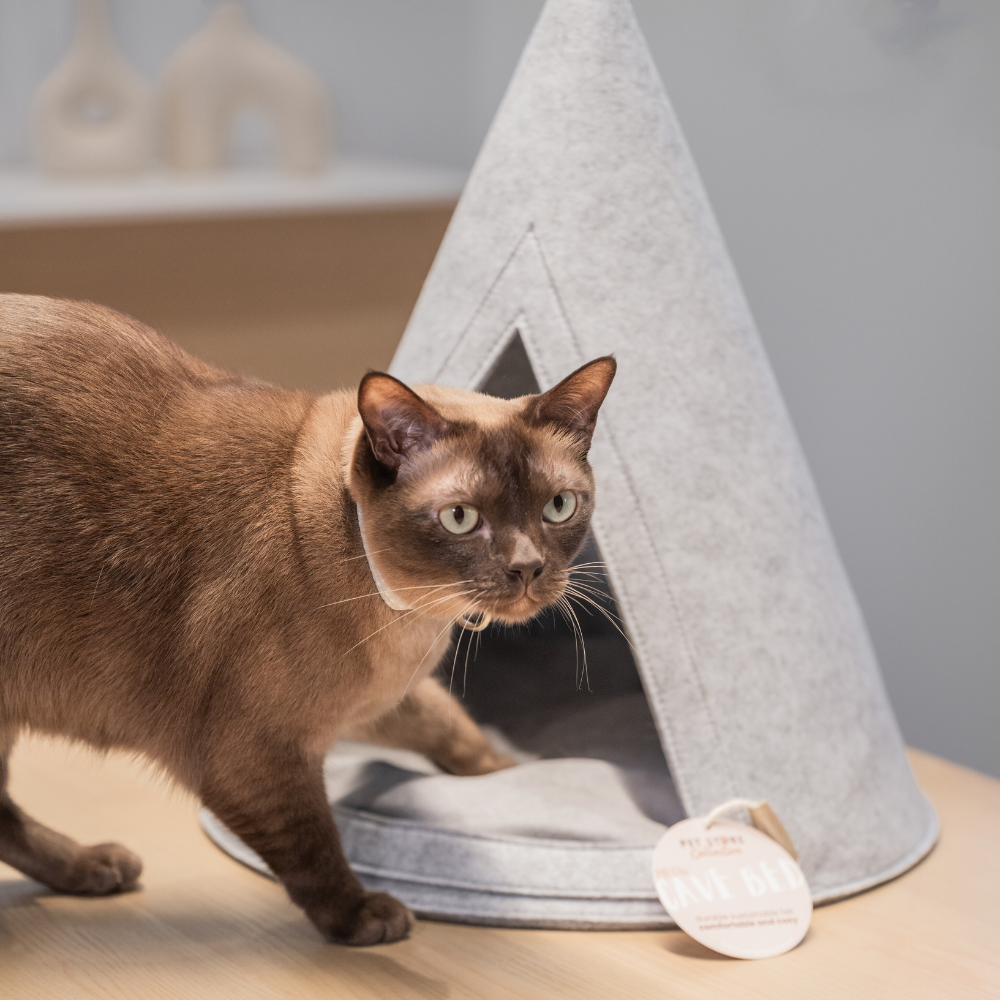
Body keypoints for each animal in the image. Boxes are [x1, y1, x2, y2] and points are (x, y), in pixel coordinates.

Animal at [0, 292, 616, 944]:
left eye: (558, 507)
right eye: (460, 518)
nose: (527, 568)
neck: (412, 618)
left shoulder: (384, 699)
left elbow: (452, 726)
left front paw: (506, 773)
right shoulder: (256, 755)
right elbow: (314, 845)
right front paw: (361, 917)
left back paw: (91, 868)